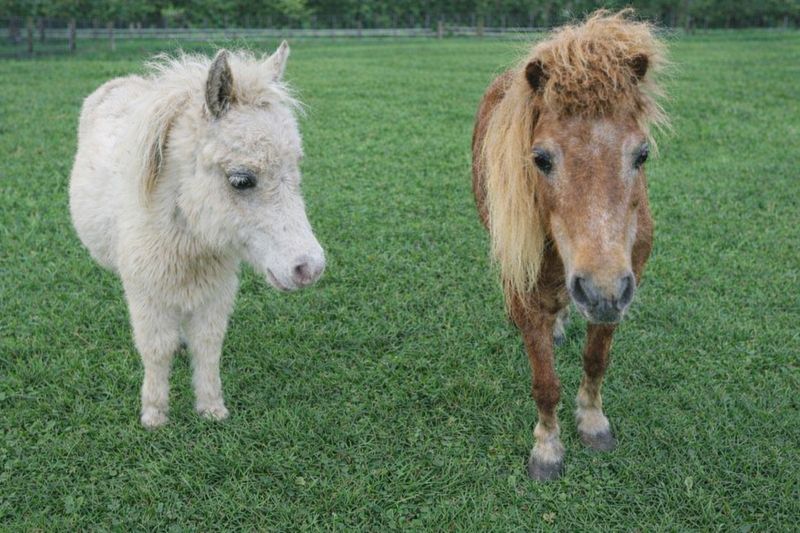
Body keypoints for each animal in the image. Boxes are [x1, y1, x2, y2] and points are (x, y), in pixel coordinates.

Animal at [69, 43, 326, 428]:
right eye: (241, 179)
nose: (309, 268)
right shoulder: (147, 292)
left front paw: (212, 409)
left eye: (296, 170)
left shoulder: (216, 291)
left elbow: (208, 345)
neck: (188, 237)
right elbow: (155, 348)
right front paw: (155, 415)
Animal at [471, 10, 668, 480]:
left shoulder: (624, 282)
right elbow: (545, 383)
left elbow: (596, 359)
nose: (600, 289)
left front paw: (593, 424)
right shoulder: (525, 286)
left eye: (642, 154)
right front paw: (547, 449)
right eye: (540, 158)